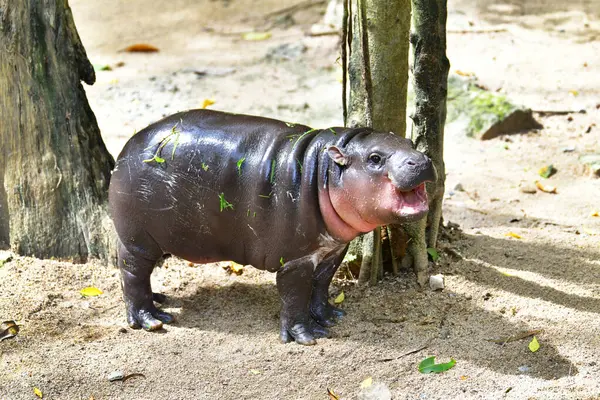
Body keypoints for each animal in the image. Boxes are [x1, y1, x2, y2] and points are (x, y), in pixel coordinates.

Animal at [109, 108, 436, 344]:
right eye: (375, 158)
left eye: (410, 142)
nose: (421, 160)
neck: (324, 171)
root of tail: (129, 144)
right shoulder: (295, 260)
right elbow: (294, 296)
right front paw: (306, 336)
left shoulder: (333, 250)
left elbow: (321, 286)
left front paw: (330, 316)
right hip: (138, 239)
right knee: (132, 272)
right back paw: (152, 319)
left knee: (140, 274)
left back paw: (159, 300)